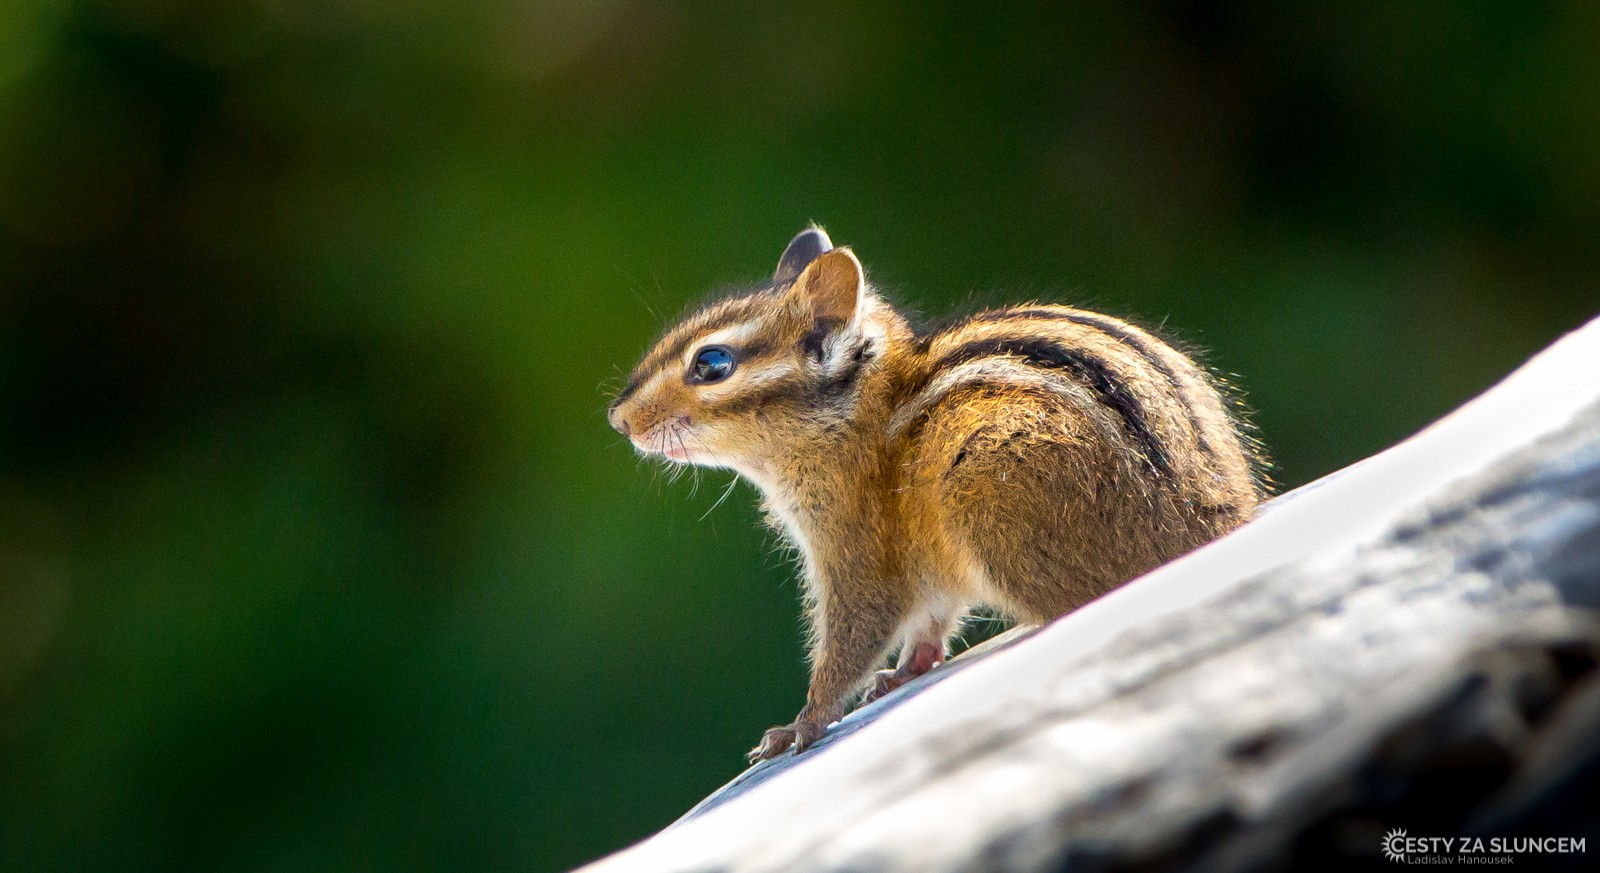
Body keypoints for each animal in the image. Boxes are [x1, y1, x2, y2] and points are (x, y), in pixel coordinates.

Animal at [607, 227, 1265, 762]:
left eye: (712, 364)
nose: (618, 419)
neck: (861, 416)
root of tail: (1202, 528)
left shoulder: (856, 550)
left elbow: (855, 635)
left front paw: (802, 726)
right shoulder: (925, 566)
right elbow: (929, 620)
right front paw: (906, 672)